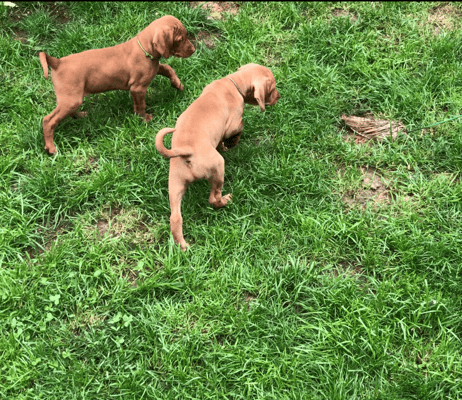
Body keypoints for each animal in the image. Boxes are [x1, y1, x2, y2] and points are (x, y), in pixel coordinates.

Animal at [39, 15, 195, 155]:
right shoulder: (137, 88)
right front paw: (144, 119)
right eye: (180, 39)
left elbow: (168, 68)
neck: (145, 49)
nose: (193, 50)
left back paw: (80, 116)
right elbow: (141, 105)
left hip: (72, 98)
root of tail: (57, 62)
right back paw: (51, 148)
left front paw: (177, 84)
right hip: (71, 99)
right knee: (48, 121)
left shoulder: (152, 70)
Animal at [155, 63, 281, 251]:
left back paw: (184, 247)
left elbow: (221, 139)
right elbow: (240, 127)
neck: (234, 83)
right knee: (213, 198)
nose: (279, 96)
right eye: (272, 89)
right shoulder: (232, 124)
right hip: (218, 167)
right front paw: (232, 143)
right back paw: (226, 200)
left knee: (175, 218)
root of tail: (185, 150)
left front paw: (224, 146)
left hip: (175, 184)